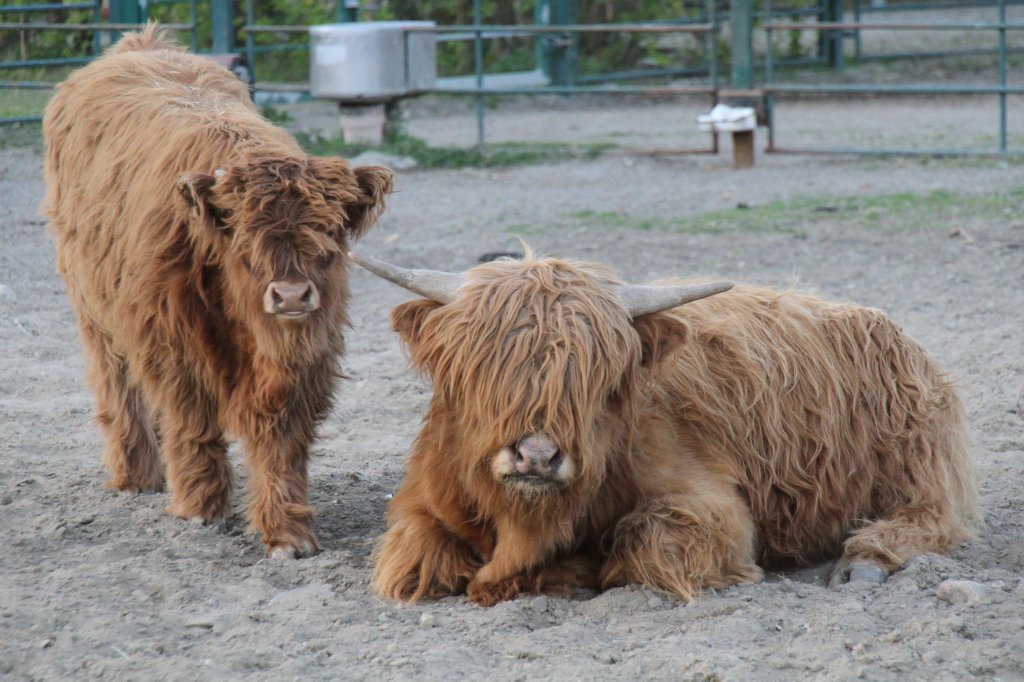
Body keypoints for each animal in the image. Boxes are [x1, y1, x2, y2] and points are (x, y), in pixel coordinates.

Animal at [43, 25, 391, 557]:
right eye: (245, 244)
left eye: (330, 235)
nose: (292, 297)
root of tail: (141, 43)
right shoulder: (170, 345)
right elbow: (194, 423)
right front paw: (200, 508)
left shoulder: (307, 357)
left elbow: (282, 442)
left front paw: (287, 532)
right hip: (94, 309)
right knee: (119, 386)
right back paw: (136, 475)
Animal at [356, 250, 978, 606]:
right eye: (483, 366)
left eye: (598, 374)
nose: (536, 457)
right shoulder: (418, 507)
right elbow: (416, 556)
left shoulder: (715, 510)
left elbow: (642, 543)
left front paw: (569, 569)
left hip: (915, 455)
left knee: (928, 516)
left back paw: (862, 563)